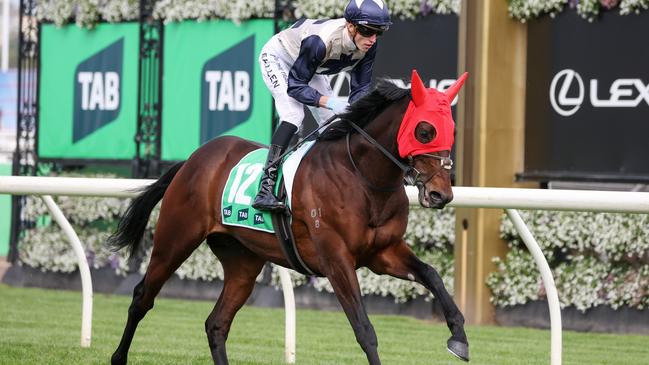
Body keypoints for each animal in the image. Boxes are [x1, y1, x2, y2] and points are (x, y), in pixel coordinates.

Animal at [109, 69, 468, 362]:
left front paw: (459, 338)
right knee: (142, 297)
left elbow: (432, 275)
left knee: (217, 323)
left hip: (242, 261)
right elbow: (364, 328)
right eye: (425, 131)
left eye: (452, 130)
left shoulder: (383, 252)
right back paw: (118, 356)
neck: (363, 177)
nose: (441, 194)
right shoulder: (336, 259)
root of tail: (193, 159)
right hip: (176, 237)